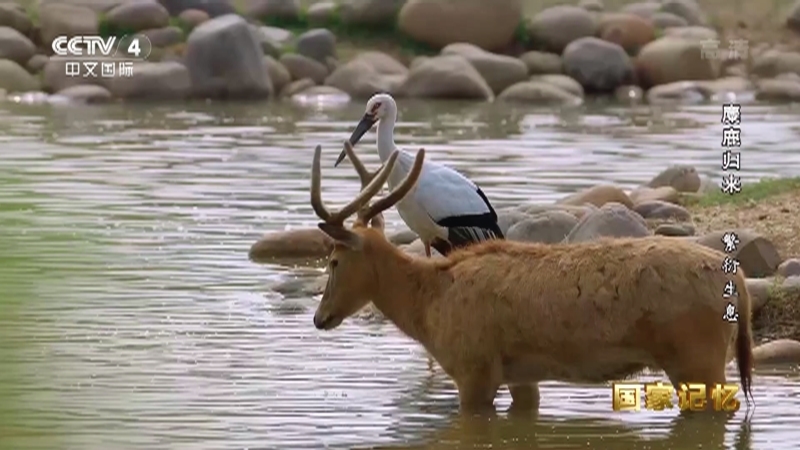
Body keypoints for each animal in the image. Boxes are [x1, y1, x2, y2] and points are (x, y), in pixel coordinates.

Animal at [309, 141, 754, 414]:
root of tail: (740, 282)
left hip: (697, 355)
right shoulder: (519, 375)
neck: (428, 305)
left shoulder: (473, 367)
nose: (319, 317)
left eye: (333, 261)